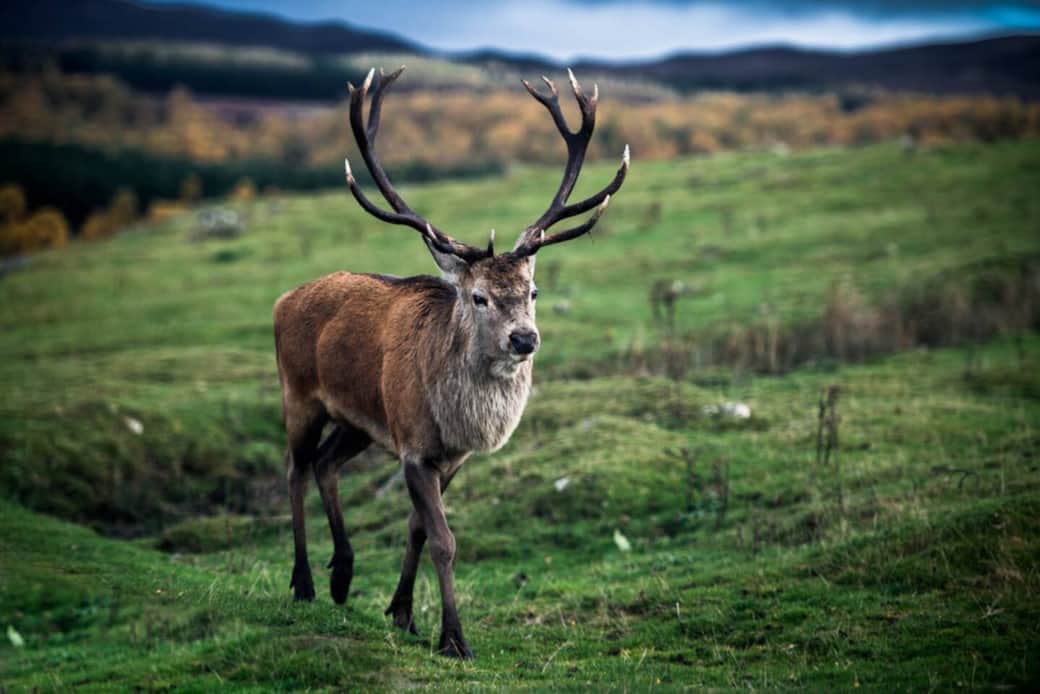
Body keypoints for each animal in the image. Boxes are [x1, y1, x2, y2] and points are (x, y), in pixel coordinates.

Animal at [272, 66, 629, 659]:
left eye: (533, 291)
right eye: (479, 296)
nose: (524, 339)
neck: (460, 420)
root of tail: (283, 300)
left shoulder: (450, 456)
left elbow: (417, 527)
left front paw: (401, 612)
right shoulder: (415, 447)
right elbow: (443, 539)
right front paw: (454, 637)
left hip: (360, 421)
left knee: (325, 465)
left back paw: (342, 574)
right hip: (298, 394)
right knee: (296, 471)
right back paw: (303, 583)